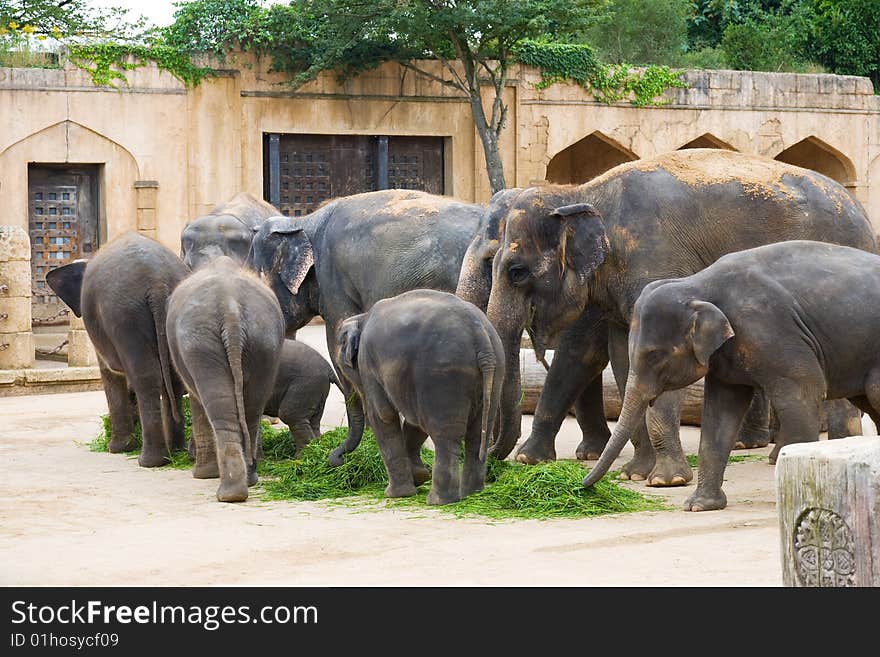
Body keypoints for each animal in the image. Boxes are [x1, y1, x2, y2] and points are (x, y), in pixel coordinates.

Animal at [167, 256, 284, 502]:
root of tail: (231, 311)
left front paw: (202, 476)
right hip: (264, 339)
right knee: (251, 410)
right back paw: (245, 485)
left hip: (200, 344)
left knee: (219, 410)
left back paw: (228, 493)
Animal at [334, 290, 506, 504]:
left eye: (341, 367)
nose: (337, 461)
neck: (361, 318)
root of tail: (480, 334)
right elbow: (414, 422)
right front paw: (419, 477)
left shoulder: (369, 364)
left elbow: (383, 416)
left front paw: (396, 494)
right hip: (495, 370)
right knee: (476, 435)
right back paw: (472, 494)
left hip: (442, 374)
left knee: (445, 435)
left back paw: (439, 501)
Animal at [484, 150, 876, 486]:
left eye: (516, 272)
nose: (492, 459)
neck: (581, 193)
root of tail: (860, 209)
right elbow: (624, 362)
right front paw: (635, 474)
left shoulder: (656, 261)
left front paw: (666, 480)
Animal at [584, 241, 880, 512]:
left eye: (654, 355)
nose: (584, 486)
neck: (697, 284)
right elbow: (720, 413)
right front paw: (699, 506)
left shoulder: (772, 331)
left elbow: (805, 394)